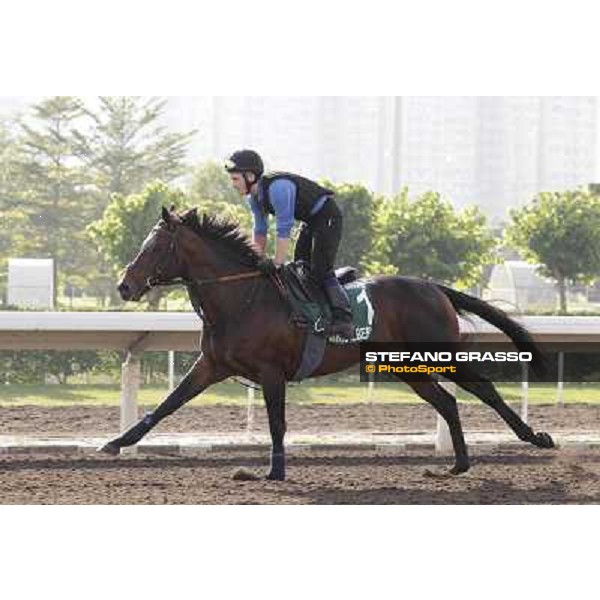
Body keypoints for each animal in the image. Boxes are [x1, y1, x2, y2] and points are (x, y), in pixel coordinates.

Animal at [97, 206, 552, 478]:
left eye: (155, 247)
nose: (124, 286)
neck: (241, 298)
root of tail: (435, 288)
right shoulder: (211, 366)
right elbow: (165, 406)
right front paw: (116, 443)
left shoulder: (271, 371)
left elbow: (277, 422)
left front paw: (275, 472)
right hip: (407, 365)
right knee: (447, 401)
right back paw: (458, 464)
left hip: (438, 352)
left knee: (482, 387)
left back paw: (534, 438)